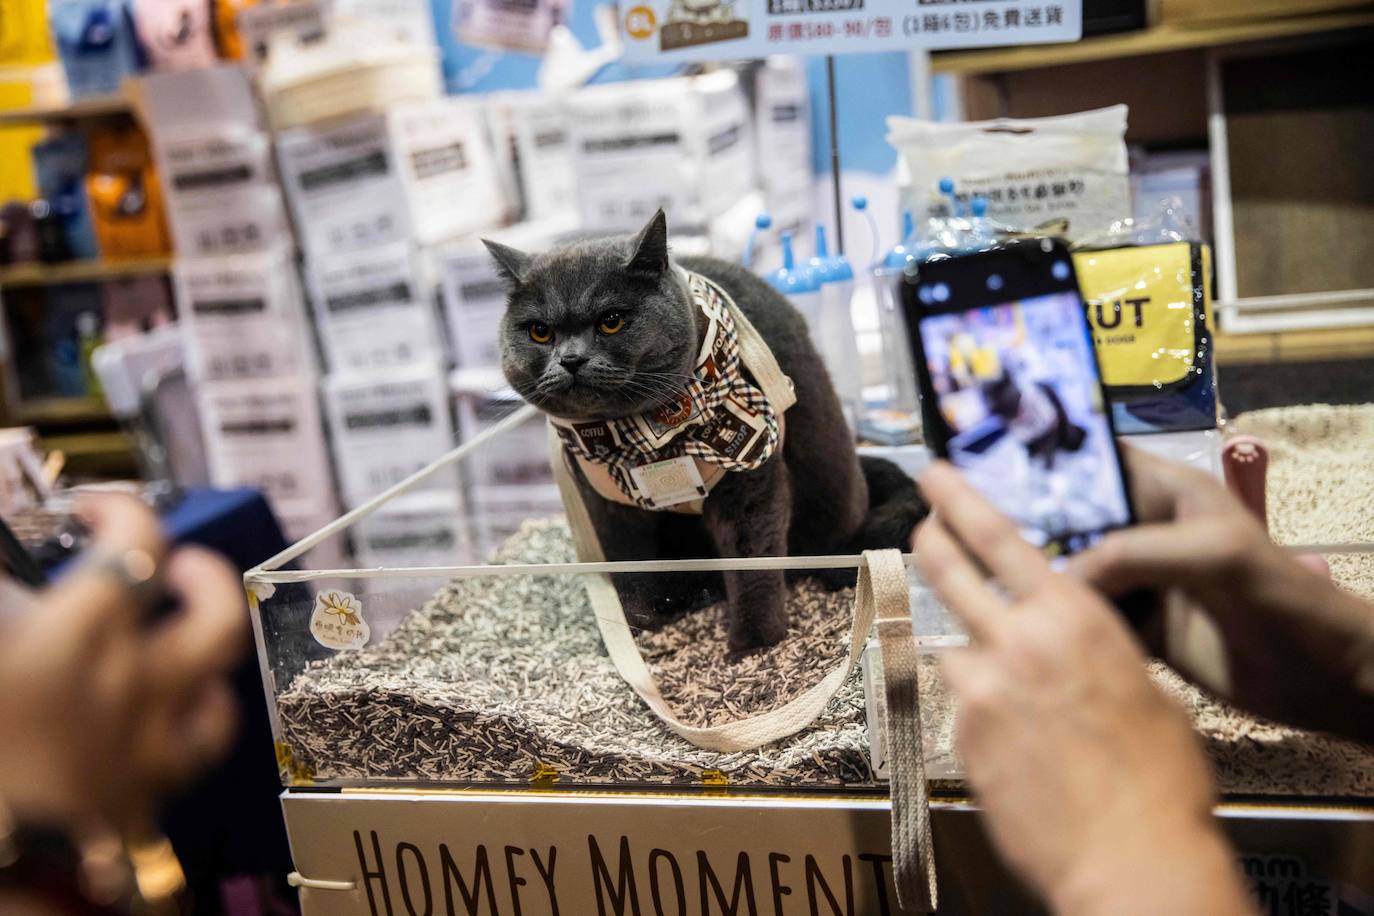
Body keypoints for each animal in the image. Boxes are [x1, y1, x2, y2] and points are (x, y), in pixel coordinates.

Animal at [489, 210, 928, 648]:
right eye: (540, 331)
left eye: (611, 321)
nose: (571, 359)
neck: (645, 441)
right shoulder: (603, 504)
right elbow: (630, 569)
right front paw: (640, 626)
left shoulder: (751, 479)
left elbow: (752, 565)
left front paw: (754, 645)